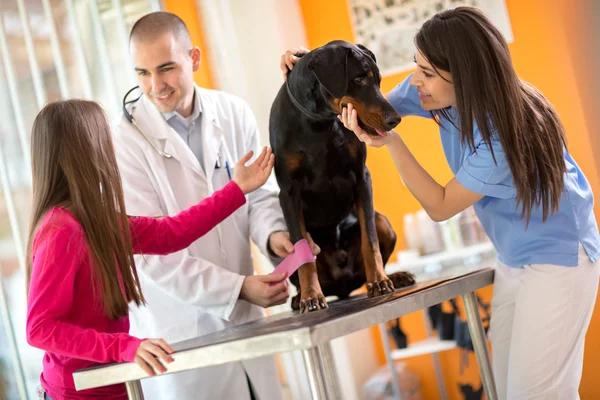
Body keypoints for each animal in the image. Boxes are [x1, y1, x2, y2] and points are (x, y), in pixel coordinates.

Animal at [270, 40, 414, 312]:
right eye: (358, 79)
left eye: (379, 80)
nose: (395, 120)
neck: (319, 123)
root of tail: (343, 286)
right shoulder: (288, 192)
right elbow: (304, 255)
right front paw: (311, 297)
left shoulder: (361, 176)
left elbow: (370, 240)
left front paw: (379, 281)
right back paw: (299, 296)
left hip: (382, 222)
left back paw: (394, 276)